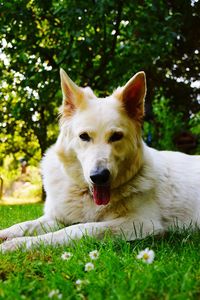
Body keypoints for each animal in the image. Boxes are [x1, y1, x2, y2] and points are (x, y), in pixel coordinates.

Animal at [0, 69, 200, 252]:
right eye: (84, 136)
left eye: (116, 136)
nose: (99, 176)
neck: (85, 194)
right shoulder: (55, 218)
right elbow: (25, 225)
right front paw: (7, 235)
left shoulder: (141, 223)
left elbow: (77, 229)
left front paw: (20, 244)